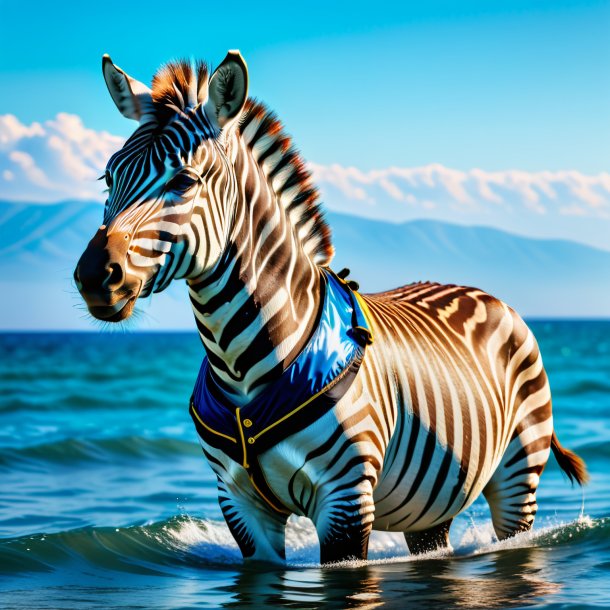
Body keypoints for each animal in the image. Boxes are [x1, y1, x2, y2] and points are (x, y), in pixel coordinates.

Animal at [73, 50, 588, 564]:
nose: (94, 277)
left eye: (184, 181)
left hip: (519, 471)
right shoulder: (240, 504)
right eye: (108, 177)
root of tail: (486, 295)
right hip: (431, 506)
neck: (239, 364)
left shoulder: (346, 501)